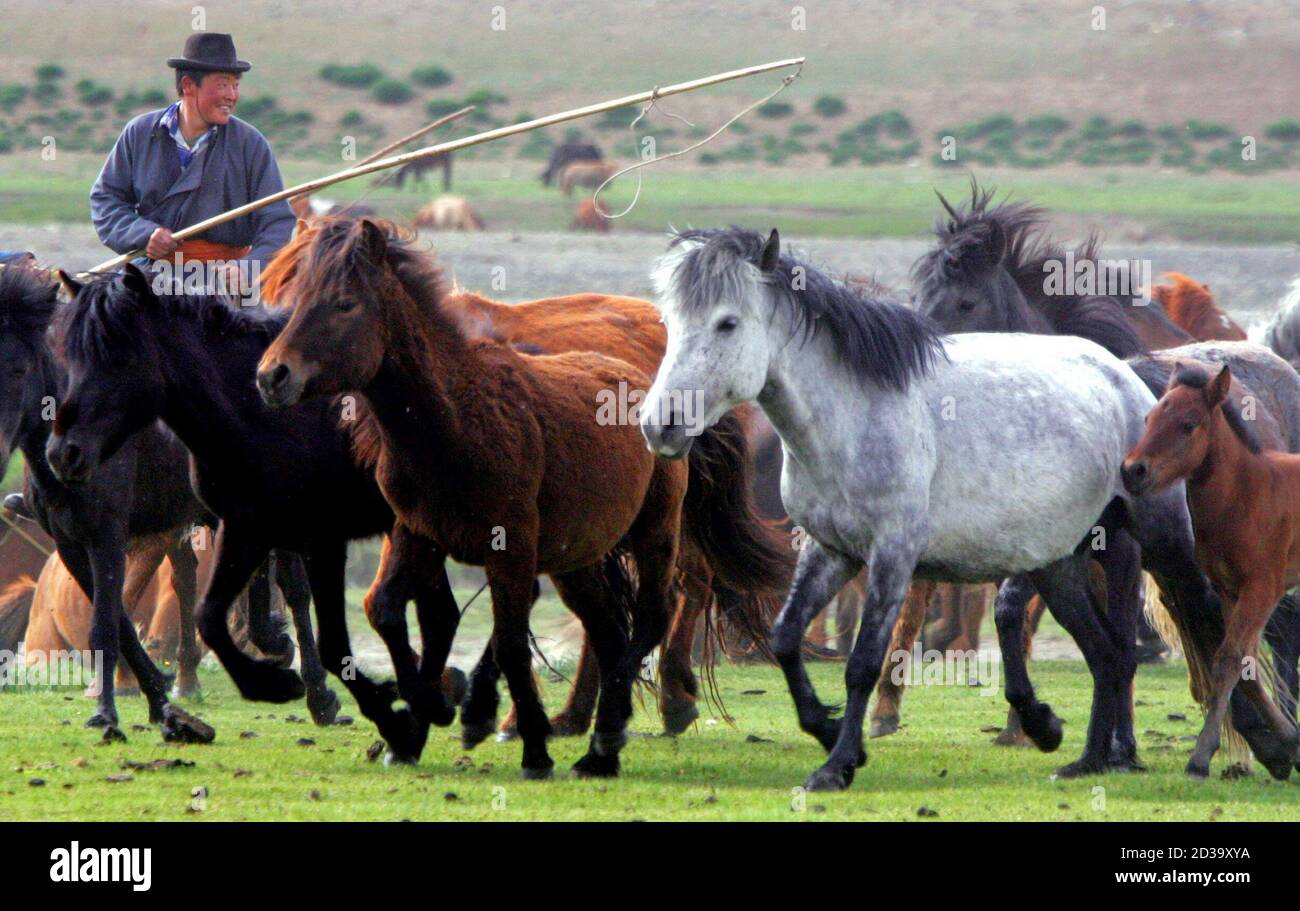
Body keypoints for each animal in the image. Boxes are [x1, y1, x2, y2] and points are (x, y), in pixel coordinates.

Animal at [644, 222, 1242, 790]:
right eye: (671, 322)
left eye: (727, 323)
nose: (660, 424)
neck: (854, 415)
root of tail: (1127, 379)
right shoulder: (829, 550)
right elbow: (786, 638)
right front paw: (830, 731)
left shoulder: (892, 555)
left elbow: (863, 662)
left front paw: (837, 765)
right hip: (1061, 563)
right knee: (1107, 654)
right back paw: (1082, 756)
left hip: (1162, 543)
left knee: (1207, 628)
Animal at [1118, 361, 1300, 774]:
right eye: (1150, 418)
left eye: (1188, 424)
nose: (1133, 471)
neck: (1248, 494)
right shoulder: (1228, 589)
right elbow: (1244, 666)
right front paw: (1290, 742)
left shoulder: (1262, 587)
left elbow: (1229, 659)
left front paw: (1200, 758)